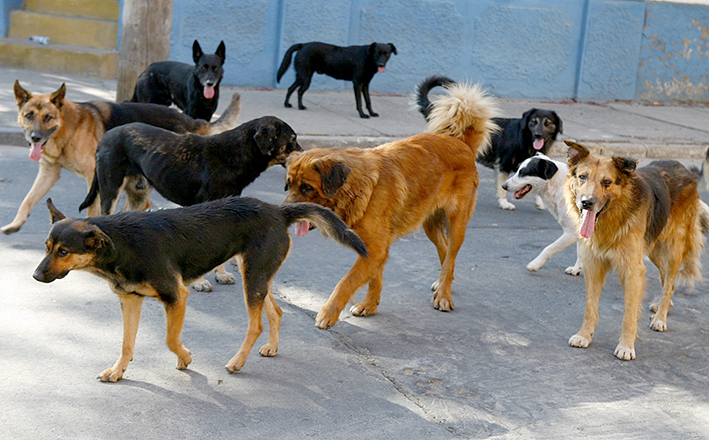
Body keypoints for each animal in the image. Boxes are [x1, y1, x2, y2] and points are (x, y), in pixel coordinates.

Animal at [2, 81, 242, 235]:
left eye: (48, 117)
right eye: (29, 116)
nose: (34, 137)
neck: (67, 127)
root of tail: (191, 121)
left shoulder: (92, 176)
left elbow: (92, 210)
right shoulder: (49, 172)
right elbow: (27, 199)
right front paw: (14, 224)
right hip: (133, 183)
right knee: (140, 205)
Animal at [33, 197, 366, 382]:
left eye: (64, 252)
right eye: (47, 247)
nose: (35, 276)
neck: (120, 246)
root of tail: (277, 210)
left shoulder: (176, 296)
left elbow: (170, 339)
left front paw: (185, 358)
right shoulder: (130, 300)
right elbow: (126, 344)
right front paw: (118, 371)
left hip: (253, 277)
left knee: (256, 323)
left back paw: (237, 362)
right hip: (257, 275)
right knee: (277, 310)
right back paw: (271, 346)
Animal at [284, 81, 498, 330]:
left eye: (307, 188)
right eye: (288, 184)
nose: (286, 211)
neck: (358, 187)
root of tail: (461, 143)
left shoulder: (375, 248)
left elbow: (346, 282)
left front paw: (328, 312)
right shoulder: (373, 249)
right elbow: (374, 278)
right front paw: (369, 305)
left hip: (457, 224)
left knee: (451, 254)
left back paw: (444, 294)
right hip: (430, 225)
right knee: (445, 254)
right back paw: (444, 283)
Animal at [414, 76, 560, 211]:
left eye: (548, 123)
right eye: (533, 122)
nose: (538, 135)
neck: (524, 139)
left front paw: (540, 202)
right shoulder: (503, 166)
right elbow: (502, 188)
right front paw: (504, 203)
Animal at [560, 141, 704, 360]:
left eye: (607, 182)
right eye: (582, 177)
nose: (586, 202)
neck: (614, 215)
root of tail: (686, 170)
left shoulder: (632, 270)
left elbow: (629, 314)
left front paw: (626, 346)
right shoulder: (594, 265)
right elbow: (590, 307)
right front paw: (584, 335)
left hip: (673, 250)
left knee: (670, 283)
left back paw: (661, 317)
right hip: (655, 251)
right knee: (666, 282)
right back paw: (661, 306)